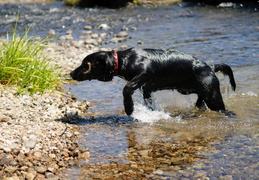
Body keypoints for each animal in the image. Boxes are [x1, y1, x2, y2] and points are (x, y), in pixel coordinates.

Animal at [70, 47, 237, 115]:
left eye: (85, 65)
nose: (71, 73)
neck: (124, 60)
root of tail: (211, 66)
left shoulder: (146, 72)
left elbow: (127, 88)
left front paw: (129, 108)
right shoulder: (147, 88)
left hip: (213, 96)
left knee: (223, 109)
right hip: (192, 91)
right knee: (199, 102)